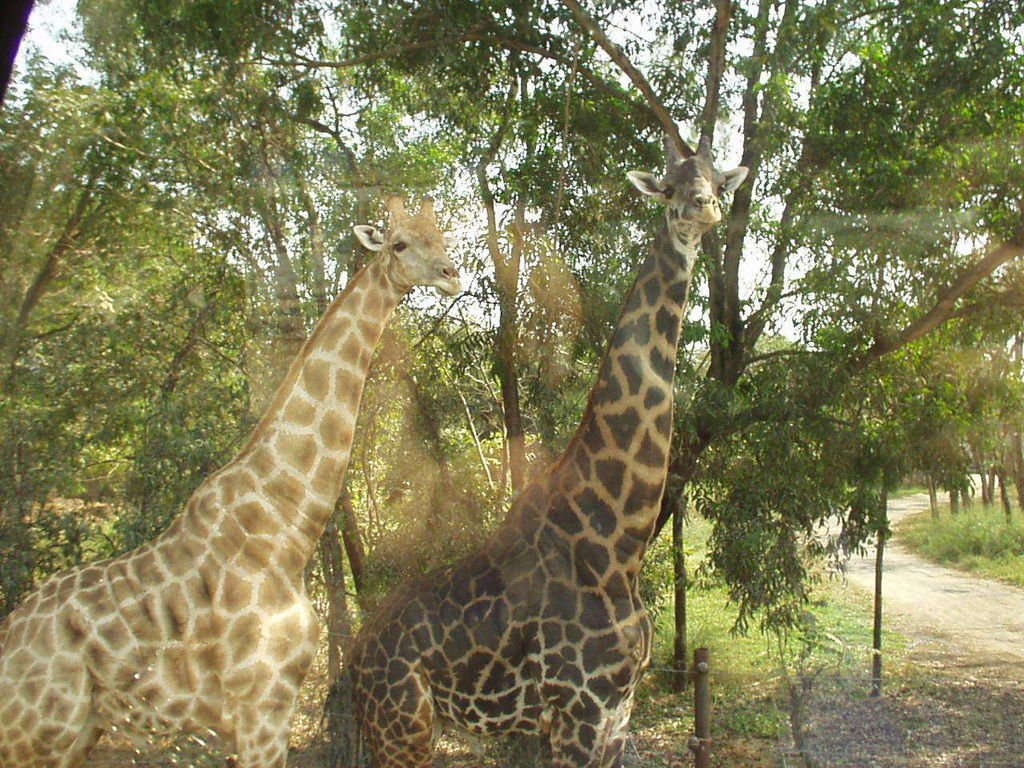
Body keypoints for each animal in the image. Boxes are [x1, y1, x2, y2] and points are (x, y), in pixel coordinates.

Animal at [0, 195, 460, 765]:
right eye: (398, 244)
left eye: (442, 237)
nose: (452, 275)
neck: (286, 527)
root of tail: (8, 639)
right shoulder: (261, 706)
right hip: (38, 733)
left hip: (79, 733)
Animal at [350, 140, 745, 768]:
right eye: (668, 186)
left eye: (715, 180)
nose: (700, 208)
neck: (618, 545)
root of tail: (354, 660)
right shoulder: (578, 713)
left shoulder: (618, 715)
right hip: (402, 730)